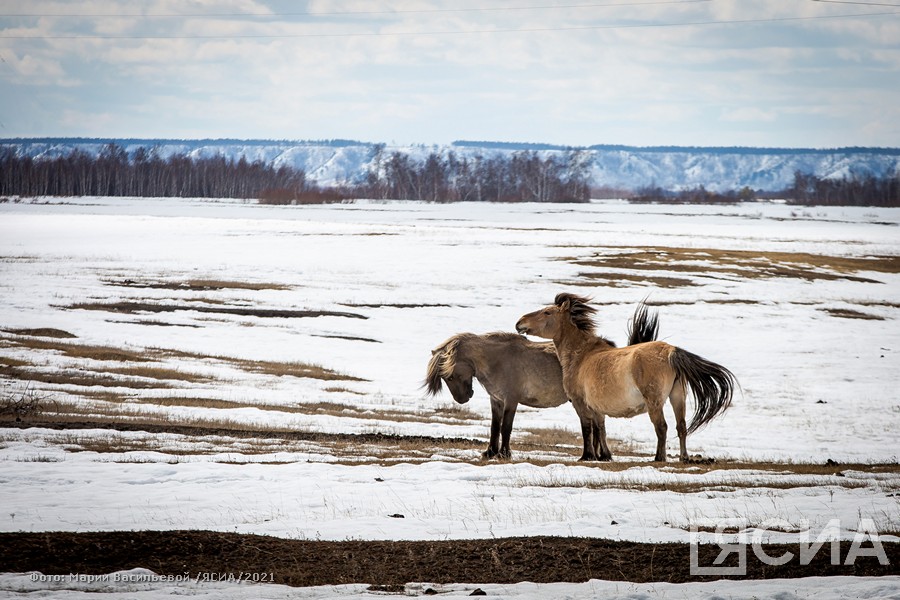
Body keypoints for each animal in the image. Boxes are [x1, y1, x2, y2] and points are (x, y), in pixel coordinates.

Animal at [426, 300, 656, 460]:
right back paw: (601, 455)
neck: (497, 359)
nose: (463, 399)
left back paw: (598, 455)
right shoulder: (496, 400)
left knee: (597, 423)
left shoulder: (511, 400)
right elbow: (494, 426)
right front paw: (490, 452)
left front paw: (504, 454)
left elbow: (506, 427)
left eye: (450, 375)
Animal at [516, 292, 736, 462]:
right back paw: (684, 458)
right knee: (681, 427)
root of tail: (670, 351)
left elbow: (587, 428)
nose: (520, 323)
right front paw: (604, 456)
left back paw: (659, 458)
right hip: (677, 396)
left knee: (662, 427)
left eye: (547, 312)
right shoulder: (597, 406)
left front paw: (587, 456)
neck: (583, 355)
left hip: (655, 401)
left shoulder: (580, 402)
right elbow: (600, 429)